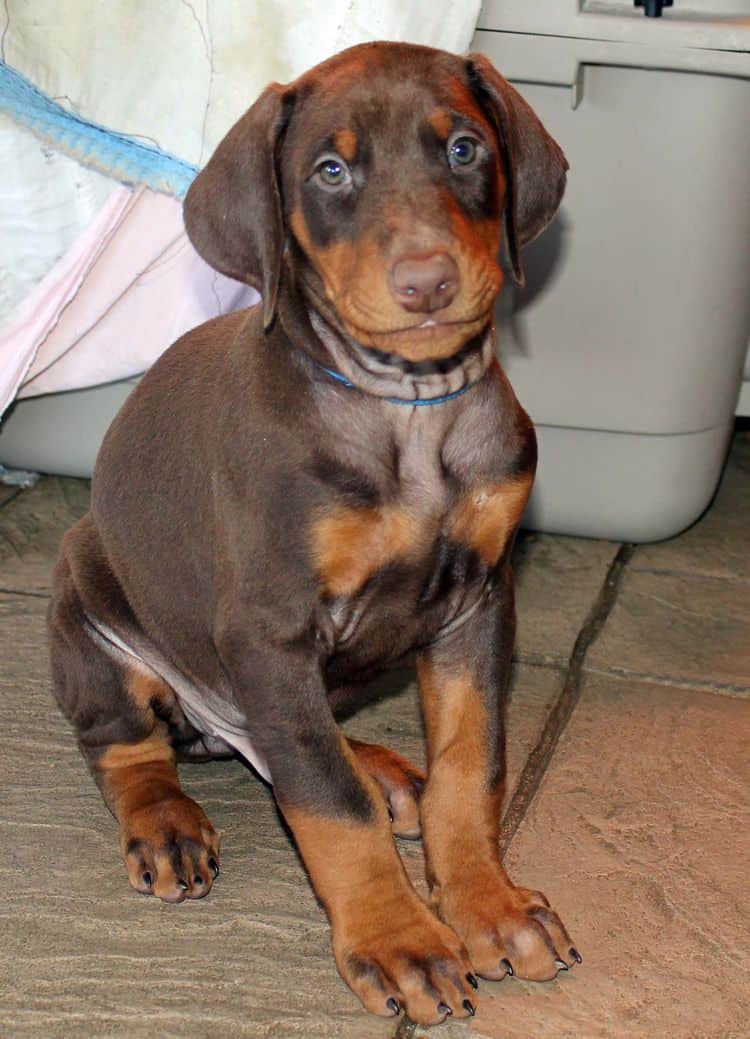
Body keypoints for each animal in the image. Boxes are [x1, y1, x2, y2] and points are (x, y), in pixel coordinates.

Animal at [48, 42, 573, 1022]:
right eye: (331, 171)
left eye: (464, 150)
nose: (426, 281)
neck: (408, 411)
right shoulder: (269, 629)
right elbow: (329, 803)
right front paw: (401, 941)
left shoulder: (481, 600)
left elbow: (469, 763)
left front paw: (487, 903)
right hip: (88, 610)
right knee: (131, 745)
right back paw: (167, 821)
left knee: (293, 738)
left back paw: (379, 766)